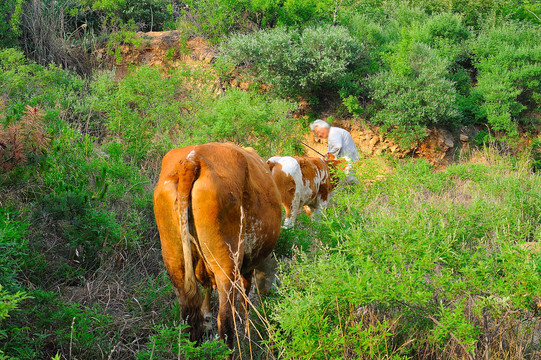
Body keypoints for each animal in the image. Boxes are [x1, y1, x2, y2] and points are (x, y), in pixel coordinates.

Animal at [151, 142, 278, 348]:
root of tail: (193, 159)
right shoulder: (246, 266)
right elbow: (243, 303)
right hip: (226, 263)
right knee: (225, 319)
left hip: (174, 259)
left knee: (188, 315)